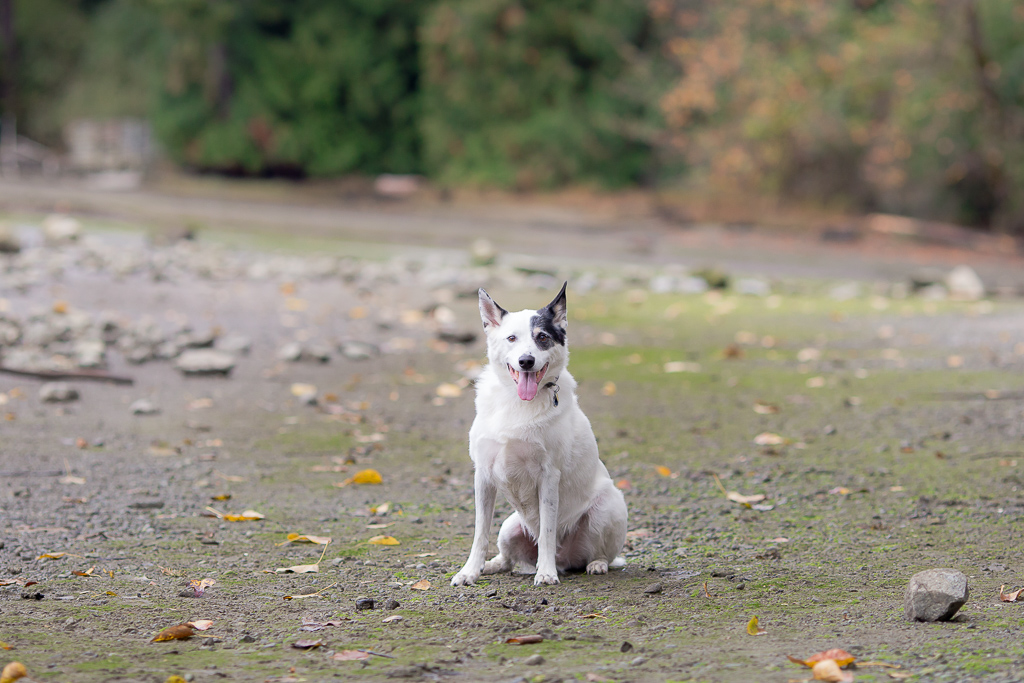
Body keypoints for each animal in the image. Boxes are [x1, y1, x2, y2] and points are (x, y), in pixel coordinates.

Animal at [452, 282, 626, 589]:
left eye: (542, 337)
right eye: (511, 338)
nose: (526, 361)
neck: (516, 401)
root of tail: (565, 560)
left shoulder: (548, 477)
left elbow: (546, 531)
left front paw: (545, 573)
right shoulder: (482, 475)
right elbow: (480, 533)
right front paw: (470, 571)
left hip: (607, 508)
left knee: (601, 552)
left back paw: (594, 564)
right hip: (510, 527)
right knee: (507, 558)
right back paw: (492, 565)